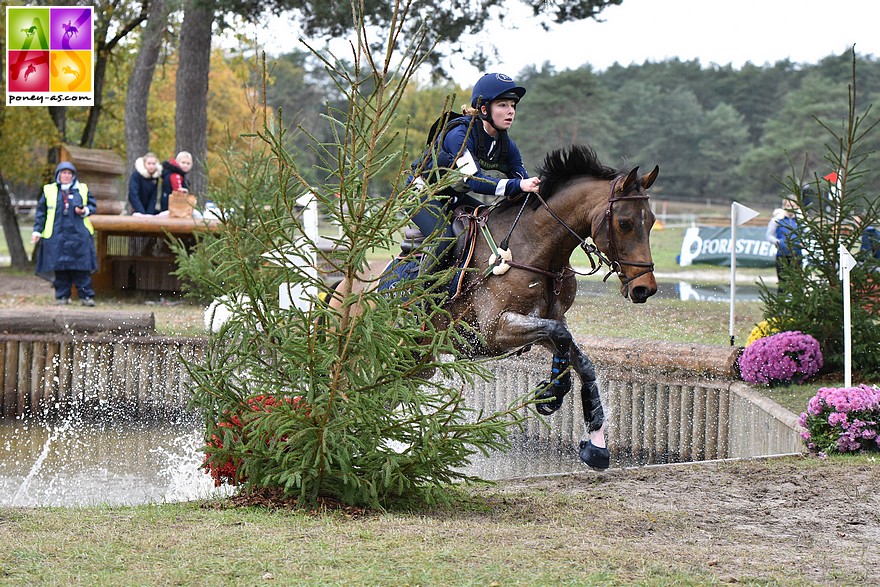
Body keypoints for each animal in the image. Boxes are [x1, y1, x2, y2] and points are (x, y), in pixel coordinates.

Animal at [332, 145, 660, 470]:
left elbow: (579, 358)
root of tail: (342, 290)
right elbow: (561, 338)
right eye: (625, 223)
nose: (645, 288)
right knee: (348, 395)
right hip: (369, 358)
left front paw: (596, 444)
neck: (536, 248)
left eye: (652, 221)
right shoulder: (493, 331)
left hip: (414, 365)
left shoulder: (545, 320)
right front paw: (551, 393)